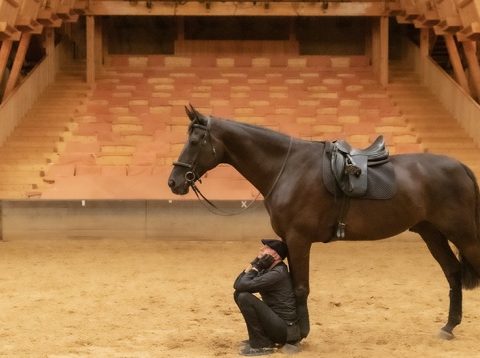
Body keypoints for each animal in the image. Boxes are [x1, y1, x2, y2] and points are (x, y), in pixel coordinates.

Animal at [168, 105, 480, 340]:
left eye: (194, 142)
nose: (173, 182)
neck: (288, 168)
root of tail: (462, 166)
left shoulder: (299, 239)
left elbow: (300, 287)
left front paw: (298, 336)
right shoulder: (288, 240)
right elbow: (294, 283)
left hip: (464, 235)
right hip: (432, 233)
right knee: (453, 272)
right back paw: (449, 327)